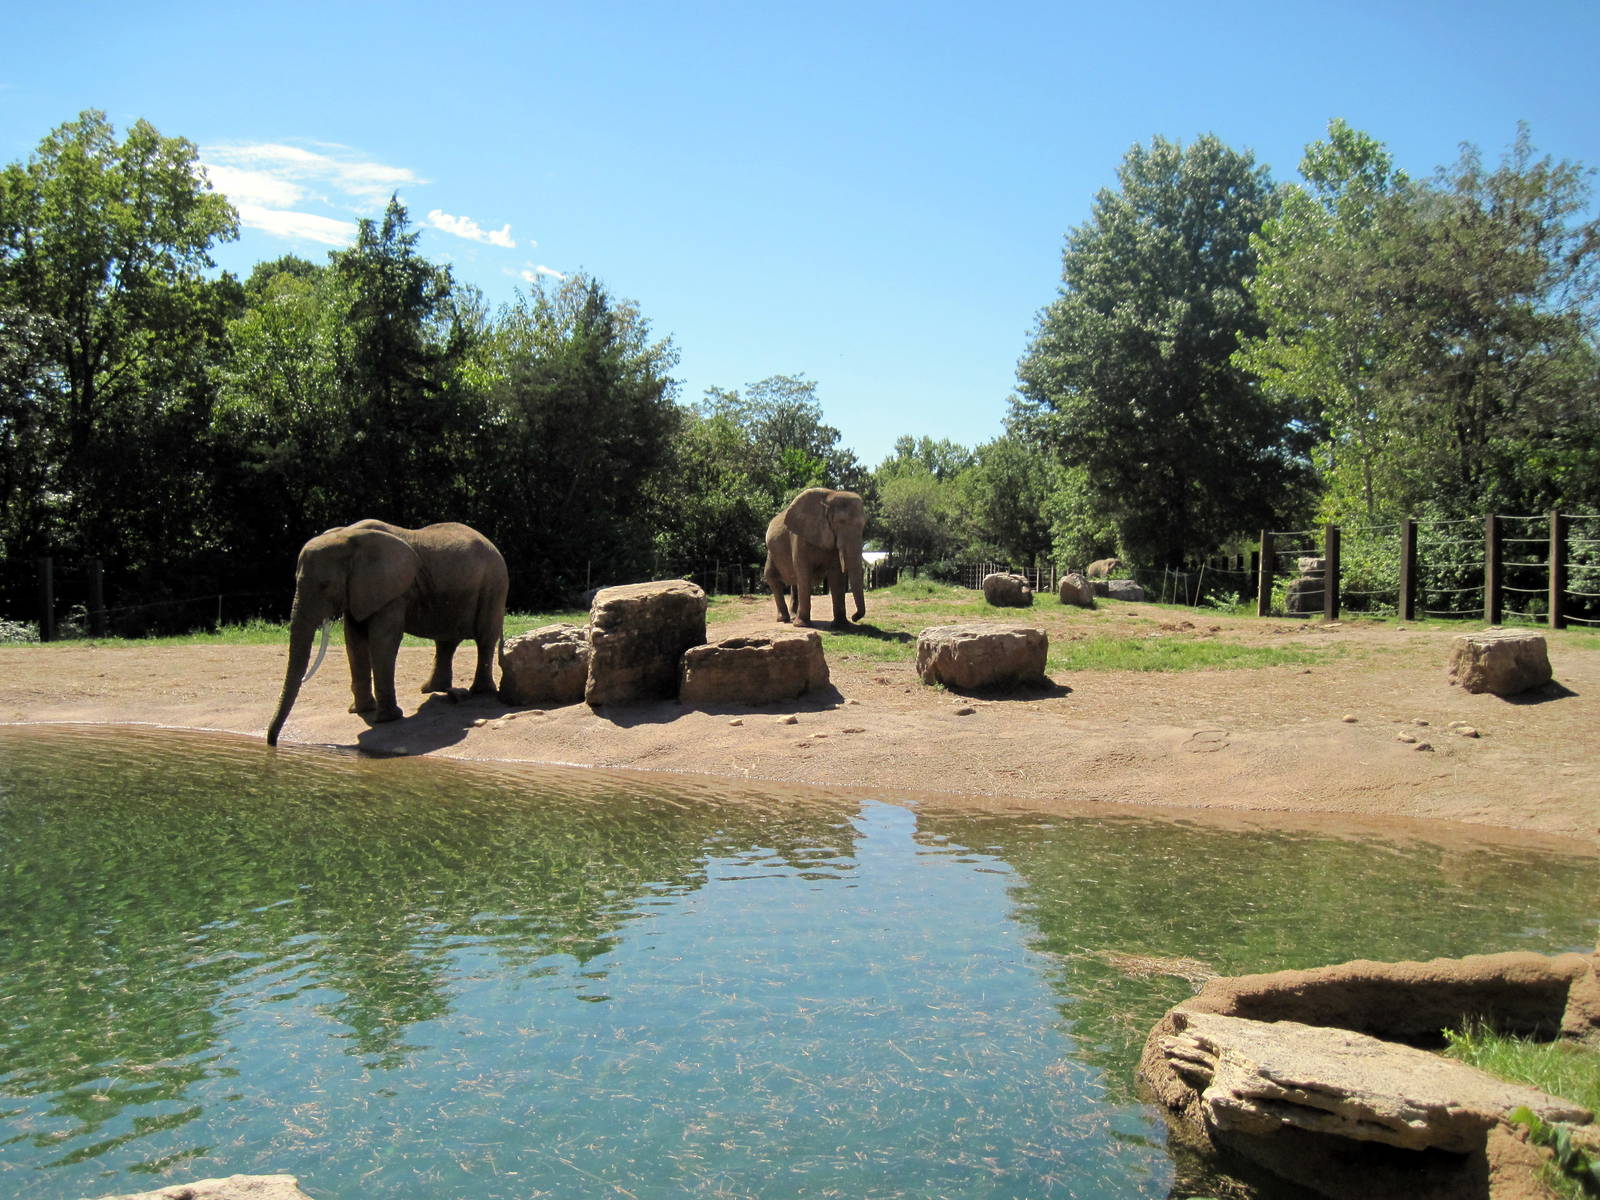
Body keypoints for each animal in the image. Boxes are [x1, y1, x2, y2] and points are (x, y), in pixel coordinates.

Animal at [266, 519, 509, 746]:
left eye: (325, 585)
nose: (272, 742)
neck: (348, 536)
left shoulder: (393, 591)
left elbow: (383, 639)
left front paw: (388, 719)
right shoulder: (359, 591)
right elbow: (354, 640)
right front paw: (361, 711)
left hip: (493, 584)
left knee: (484, 638)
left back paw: (480, 692)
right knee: (445, 642)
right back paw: (431, 689)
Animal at [763, 488, 867, 628]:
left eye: (863, 525)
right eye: (840, 522)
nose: (854, 617)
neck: (831, 495)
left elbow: (836, 575)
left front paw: (841, 626)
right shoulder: (799, 536)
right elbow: (804, 572)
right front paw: (801, 625)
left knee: (794, 582)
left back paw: (793, 617)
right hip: (771, 553)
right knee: (773, 578)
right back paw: (784, 619)